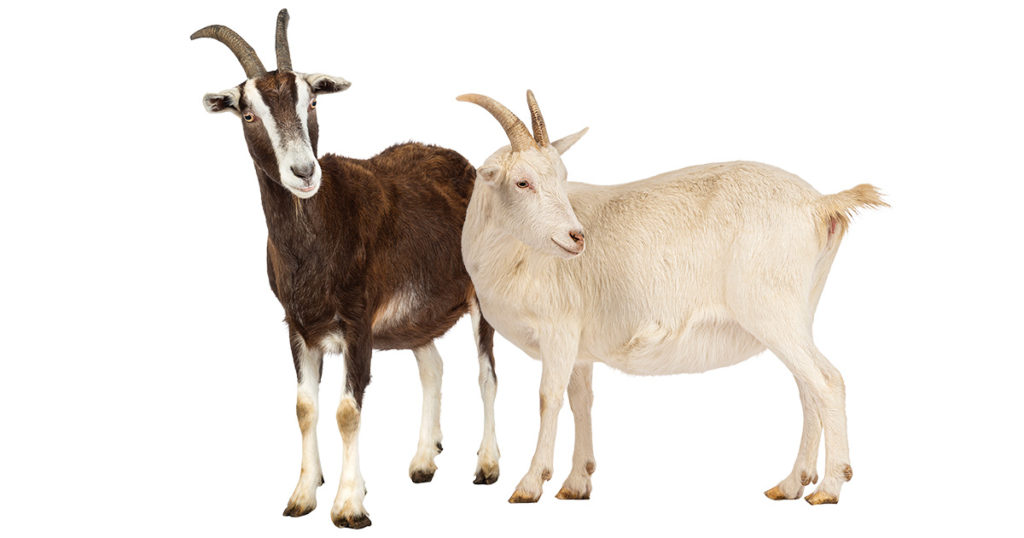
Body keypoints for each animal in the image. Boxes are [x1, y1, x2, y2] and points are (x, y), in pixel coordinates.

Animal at [191, 10, 500, 529]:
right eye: (249, 113)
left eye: (312, 100)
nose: (303, 172)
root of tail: (467, 167)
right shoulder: (298, 326)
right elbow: (305, 407)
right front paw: (302, 495)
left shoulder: (358, 323)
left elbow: (347, 412)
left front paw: (350, 505)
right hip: (413, 318)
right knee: (432, 366)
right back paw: (422, 461)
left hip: (481, 296)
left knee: (486, 375)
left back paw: (488, 465)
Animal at [457, 91, 885, 506]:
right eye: (522, 182)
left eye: (562, 177)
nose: (576, 237)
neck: (515, 256)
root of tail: (821, 205)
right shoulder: (580, 348)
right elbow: (582, 401)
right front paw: (577, 483)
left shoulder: (558, 331)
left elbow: (549, 398)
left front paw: (530, 484)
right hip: (798, 313)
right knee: (807, 388)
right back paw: (792, 484)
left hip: (772, 310)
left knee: (827, 382)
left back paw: (829, 487)